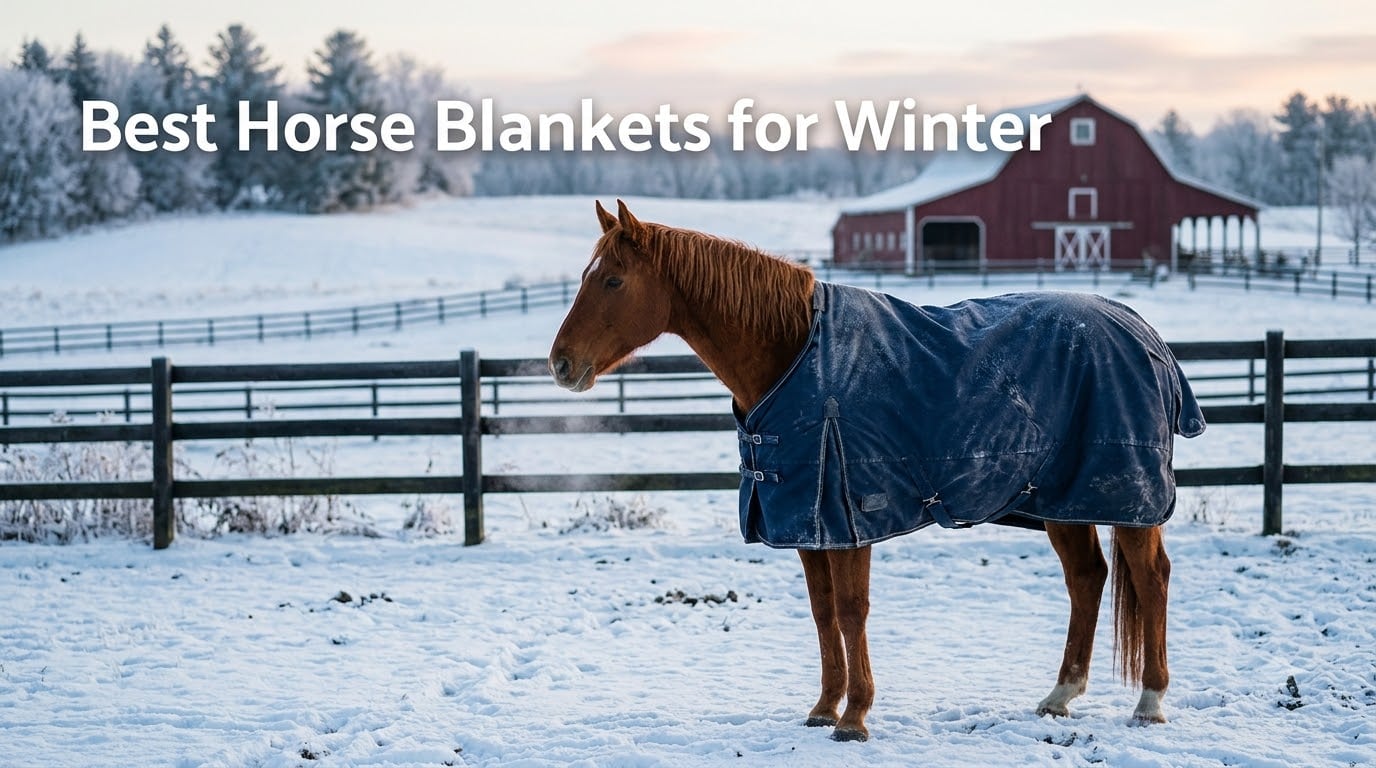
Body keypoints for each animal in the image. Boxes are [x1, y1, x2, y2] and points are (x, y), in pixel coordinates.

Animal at [548, 200, 1204, 742]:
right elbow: (821, 611)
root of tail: (1144, 334)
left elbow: (849, 609)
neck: (795, 352)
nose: (560, 364)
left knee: (1151, 579)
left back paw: (1149, 703)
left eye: (612, 279)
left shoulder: (849, 515)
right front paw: (823, 708)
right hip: (1063, 499)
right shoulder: (807, 522)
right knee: (1086, 579)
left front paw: (855, 716)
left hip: (1127, 497)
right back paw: (1060, 696)